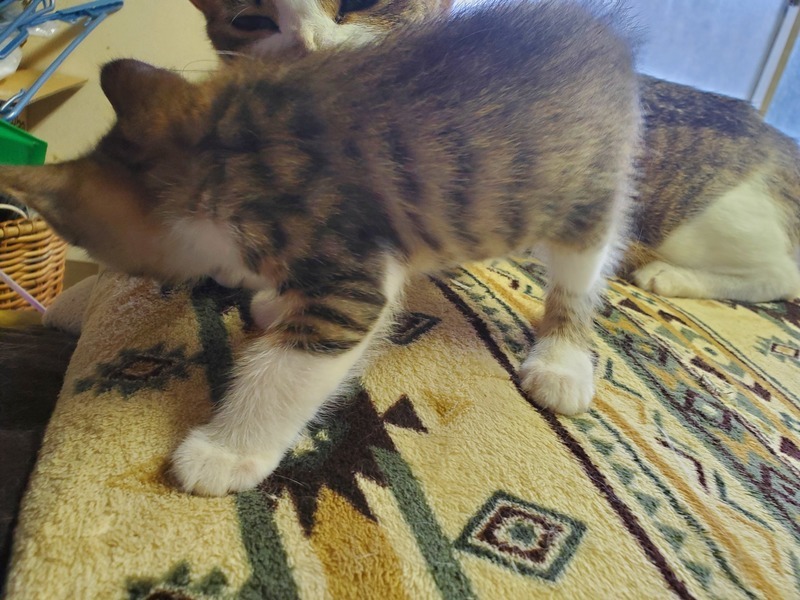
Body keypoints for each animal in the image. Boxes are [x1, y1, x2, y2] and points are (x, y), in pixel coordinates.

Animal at [0, 0, 641, 496]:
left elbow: (291, 367)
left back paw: (562, 359)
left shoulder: (352, 277)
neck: (220, 156)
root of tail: (604, 36)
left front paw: (226, 452)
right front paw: (273, 302)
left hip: (585, 196)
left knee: (581, 279)